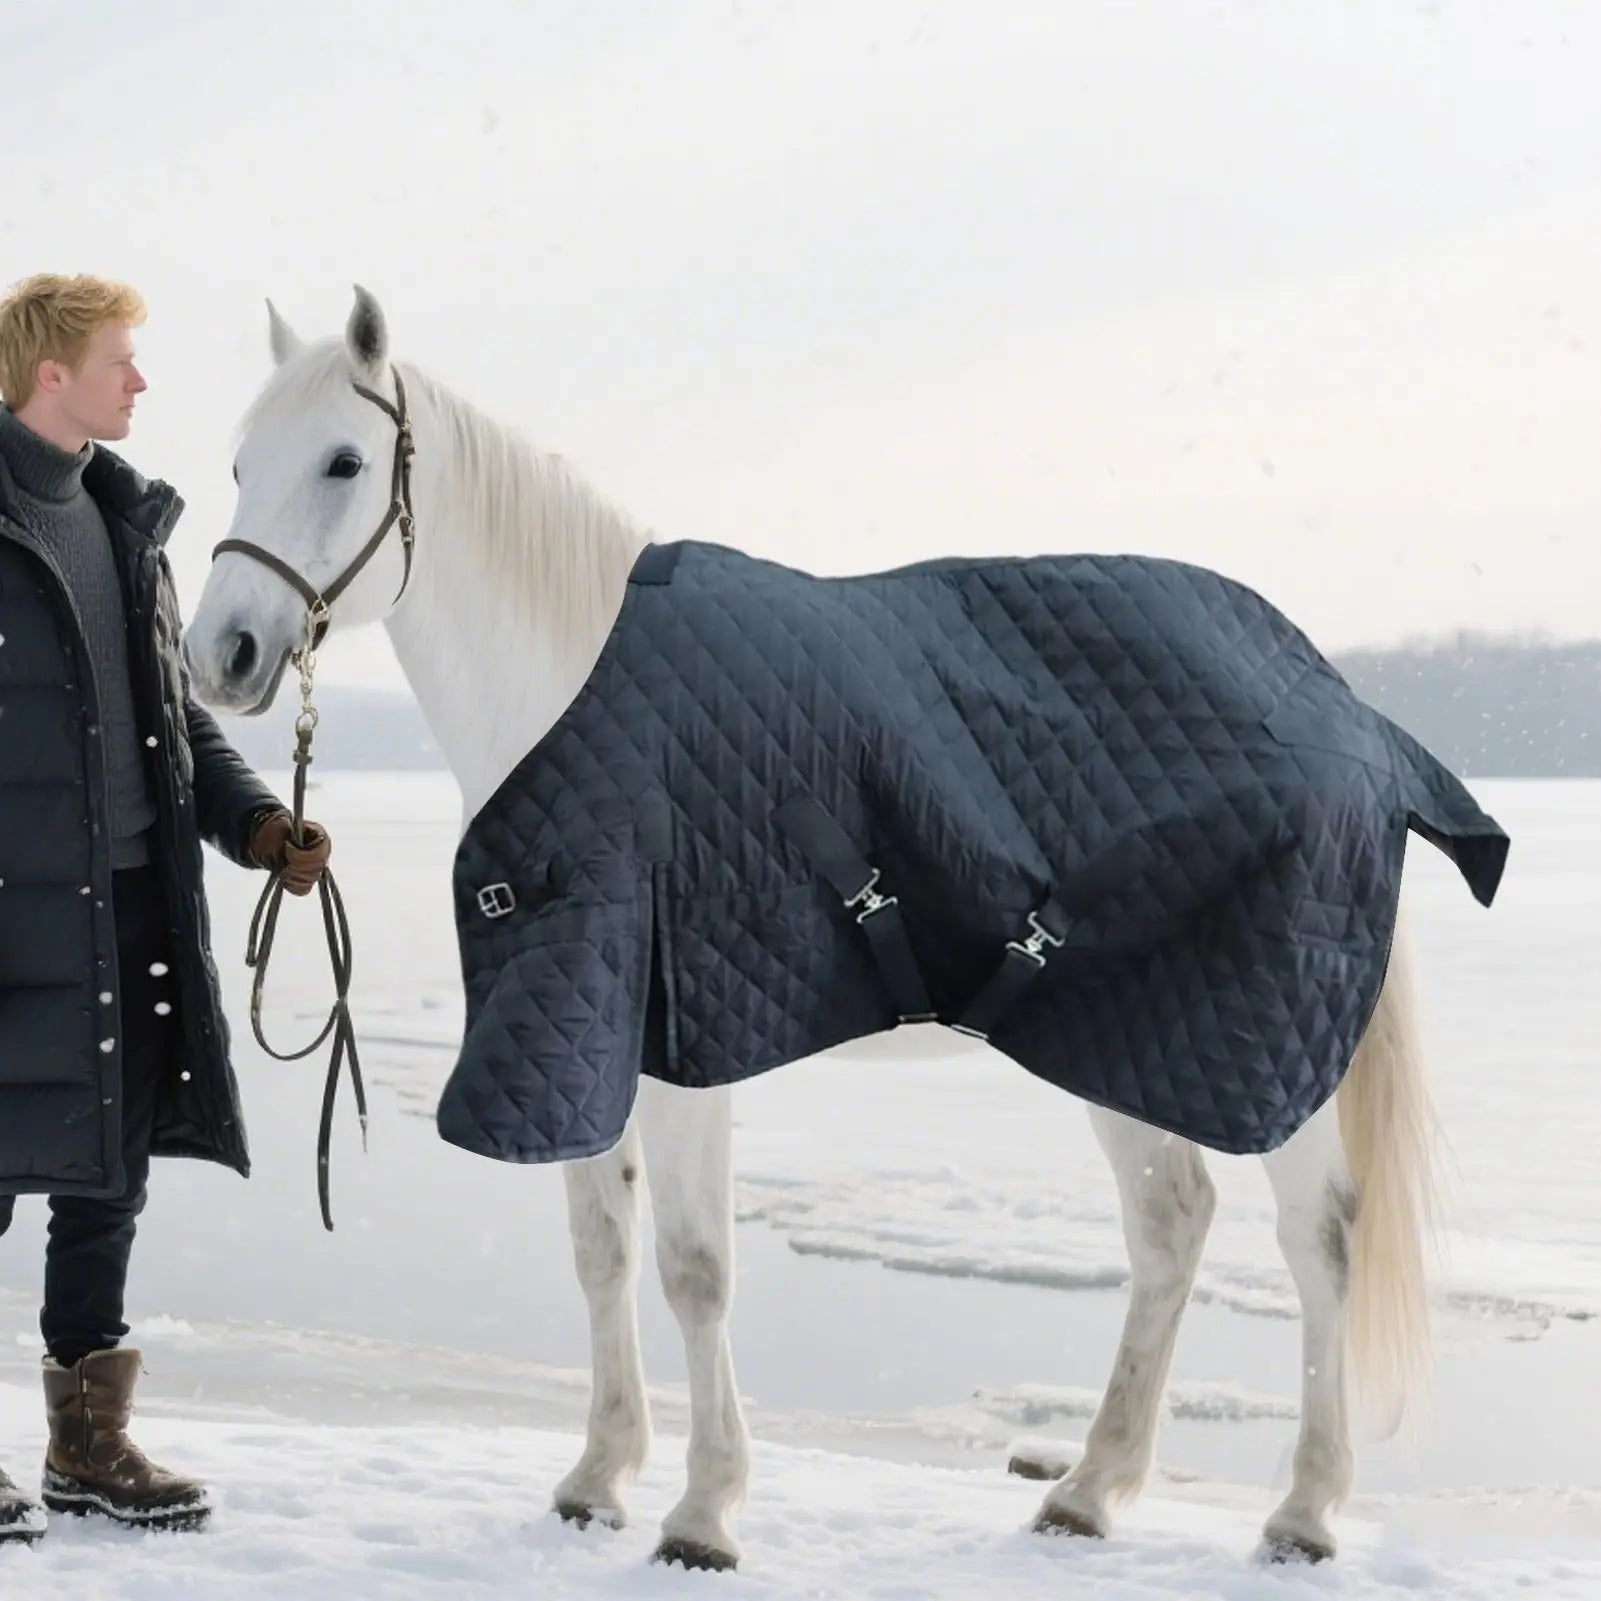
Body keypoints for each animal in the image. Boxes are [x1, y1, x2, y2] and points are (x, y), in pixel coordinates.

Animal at [181, 286, 1438, 1571]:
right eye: (237, 463)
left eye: (342, 460)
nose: (220, 652)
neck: (578, 698)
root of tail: (1342, 704)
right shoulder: (578, 1027)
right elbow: (600, 1247)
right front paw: (596, 1477)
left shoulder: (683, 1045)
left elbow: (692, 1268)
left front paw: (702, 1512)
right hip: (1132, 1033)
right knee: (1171, 1222)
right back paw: (1087, 1491)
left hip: (1260, 1037)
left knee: (1318, 1236)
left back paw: (1300, 1510)